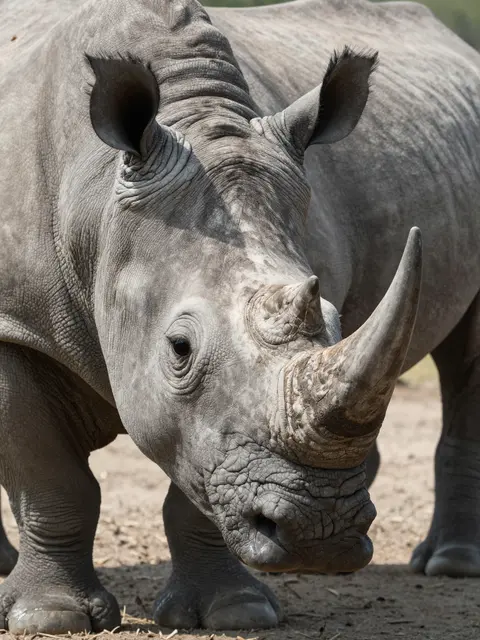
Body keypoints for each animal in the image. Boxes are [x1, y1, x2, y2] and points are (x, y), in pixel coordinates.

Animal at [0, 0, 479, 634]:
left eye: (337, 321)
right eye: (179, 349)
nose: (319, 533)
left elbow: (195, 482)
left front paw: (236, 610)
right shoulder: (13, 326)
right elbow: (49, 476)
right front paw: (52, 619)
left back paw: (450, 565)